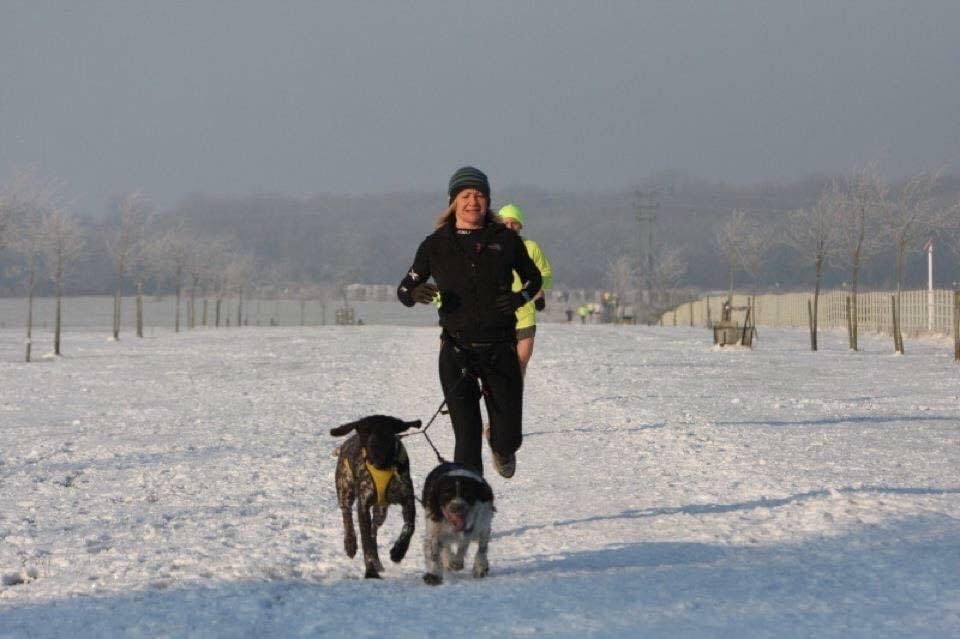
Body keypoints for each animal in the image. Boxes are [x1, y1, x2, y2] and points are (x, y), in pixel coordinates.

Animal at [332, 416, 418, 580]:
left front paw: (398, 551)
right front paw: (371, 571)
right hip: (345, 490)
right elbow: (366, 543)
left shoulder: (408, 500)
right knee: (346, 514)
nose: (373, 445)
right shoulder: (363, 506)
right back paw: (350, 543)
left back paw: (378, 560)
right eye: (365, 430)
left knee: (373, 529)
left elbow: (409, 527)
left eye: (385, 431)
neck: (382, 466)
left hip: (381, 511)